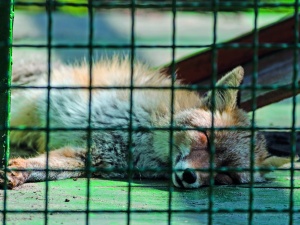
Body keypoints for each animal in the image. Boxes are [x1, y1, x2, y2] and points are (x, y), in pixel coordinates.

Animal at [0, 56, 286, 188]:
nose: (190, 176)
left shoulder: (90, 155)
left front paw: (19, 172)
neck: (143, 143)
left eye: (226, 175)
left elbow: (44, 166)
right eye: (205, 137)